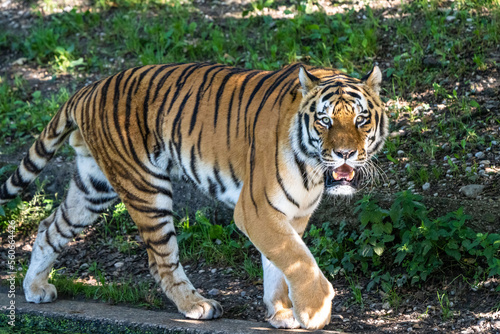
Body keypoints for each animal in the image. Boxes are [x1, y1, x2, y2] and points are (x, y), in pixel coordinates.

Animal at [0, 62, 386, 328]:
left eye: (361, 120)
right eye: (324, 121)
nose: (345, 154)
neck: (313, 169)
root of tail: (89, 87)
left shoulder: (291, 213)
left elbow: (279, 263)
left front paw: (280, 313)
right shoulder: (256, 209)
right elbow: (297, 258)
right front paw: (315, 309)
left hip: (95, 188)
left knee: (49, 228)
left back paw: (35, 288)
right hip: (146, 188)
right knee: (160, 261)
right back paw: (196, 305)